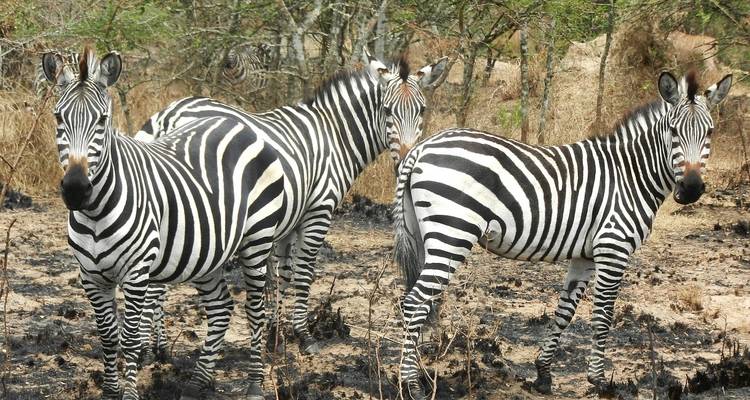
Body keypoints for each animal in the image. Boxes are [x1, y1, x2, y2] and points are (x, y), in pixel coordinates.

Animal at [42, 47, 288, 400]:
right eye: (58, 118)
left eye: (102, 120)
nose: (76, 189)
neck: (95, 213)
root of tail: (238, 120)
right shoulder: (91, 276)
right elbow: (108, 338)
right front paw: (110, 392)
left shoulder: (136, 272)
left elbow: (130, 340)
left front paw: (129, 394)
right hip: (208, 251)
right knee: (221, 307)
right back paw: (198, 382)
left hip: (258, 239)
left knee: (254, 311)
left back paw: (254, 385)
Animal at [134, 48, 447, 356]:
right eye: (386, 111)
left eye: (421, 110)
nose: (405, 160)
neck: (334, 136)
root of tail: (167, 117)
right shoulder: (318, 211)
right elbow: (304, 272)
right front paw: (304, 335)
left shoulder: (289, 217)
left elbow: (283, 274)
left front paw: (275, 334)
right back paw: (156, 350)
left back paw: (156, 347)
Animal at [391, 71, 732, 399]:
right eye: (673, 131)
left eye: (710, 132)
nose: (691, 189)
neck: (631, 175)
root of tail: (420, 148)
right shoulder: (613, 246)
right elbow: (602, 316)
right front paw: (599, 381)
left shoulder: (585, 255)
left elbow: (564, 311)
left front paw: (543, 374)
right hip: (453, 232)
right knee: (414, 303)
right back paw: (410, 385)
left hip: (426, 234)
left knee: (420, 303)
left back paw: (418, 374)